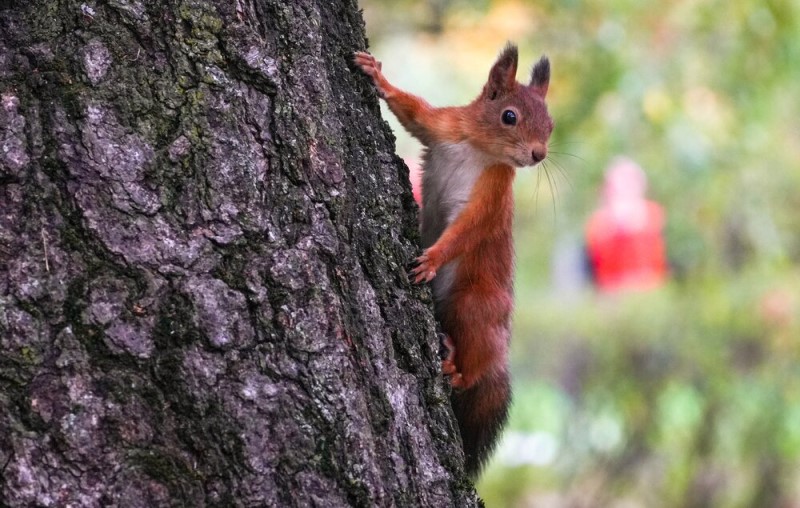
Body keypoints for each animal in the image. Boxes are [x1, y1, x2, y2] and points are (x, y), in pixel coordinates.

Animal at [354, 43, 553, 477]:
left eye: (550, 124)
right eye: (509, 116)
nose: (538, 155)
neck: (480, 149)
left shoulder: (491, 196)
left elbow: (467, 232)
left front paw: (431, 259)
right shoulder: (443, 126)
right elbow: (414, 112)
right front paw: (378, 76)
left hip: (476, 303)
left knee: (476, 365)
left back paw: (456, 371)